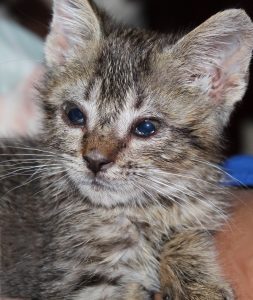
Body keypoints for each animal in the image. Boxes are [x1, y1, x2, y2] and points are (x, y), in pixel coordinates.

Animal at [0, 0, 253, 300]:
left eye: (145, 127)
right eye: (75, 115)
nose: (95, 160)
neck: (138, 211)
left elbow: (186, 229)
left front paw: (197, 282)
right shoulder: (76, 282)